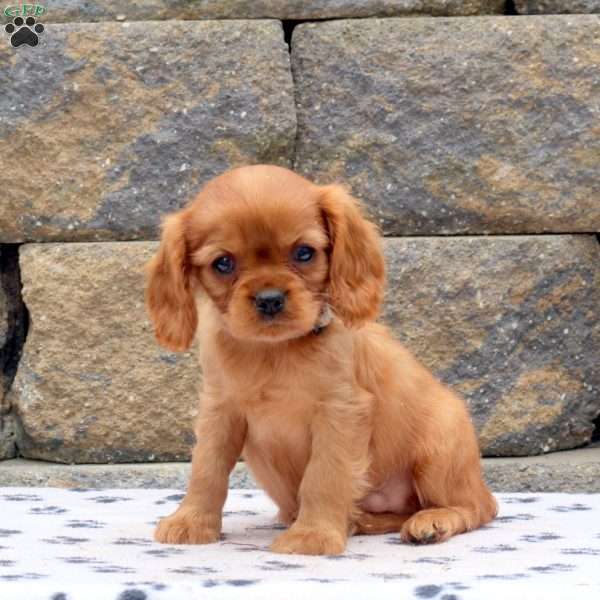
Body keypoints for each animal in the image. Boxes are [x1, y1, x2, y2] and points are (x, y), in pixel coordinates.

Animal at [146, 165, 496, 556]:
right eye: (223, 263)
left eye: (304, 253)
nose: (269, 299)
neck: (274, 351)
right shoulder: (219, 412)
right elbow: (207, 469)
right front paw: (191, 521)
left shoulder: (340, 412)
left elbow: (324, 476)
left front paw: (311, 535)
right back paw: (359, 521)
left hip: (439, 449)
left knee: (478, 507)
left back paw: (431, 521)